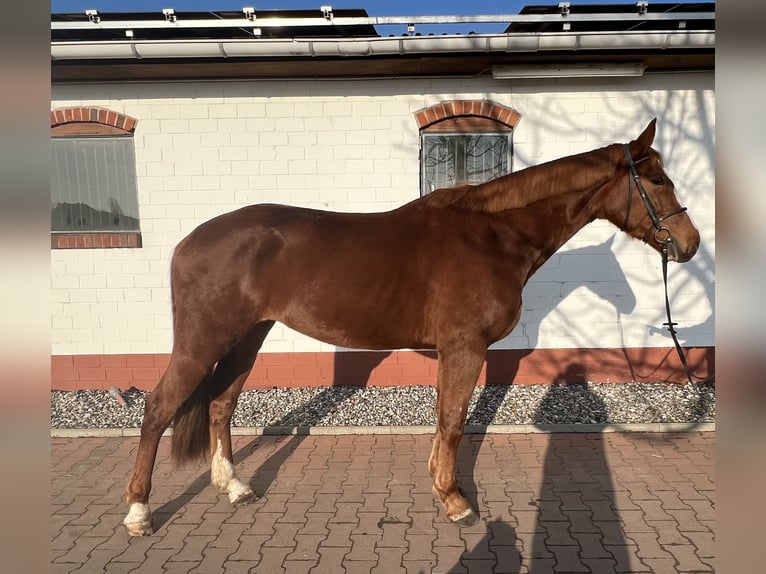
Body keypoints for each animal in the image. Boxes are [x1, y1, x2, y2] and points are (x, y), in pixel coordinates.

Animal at [123, 119, 700, 535]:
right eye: (657, 180)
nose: (689, 244)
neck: (493, 234)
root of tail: (189, 241)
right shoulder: (465, 348)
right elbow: (454, 421)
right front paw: (456, 501)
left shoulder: (454, 351)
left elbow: (445, 420)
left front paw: (440, 486)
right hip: (204, 341)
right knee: (158, 408)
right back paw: (139, 513)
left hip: (249, 336)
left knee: (221, 404)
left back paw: (236, 488)